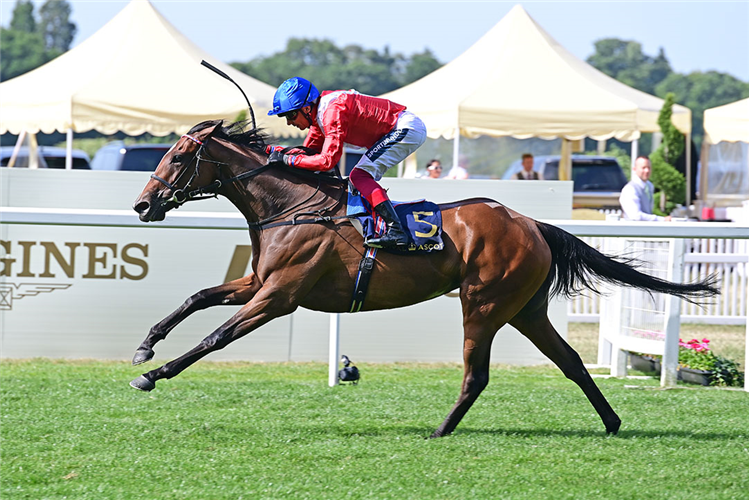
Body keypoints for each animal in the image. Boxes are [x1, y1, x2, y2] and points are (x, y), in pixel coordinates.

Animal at [130, 120, 720, 438]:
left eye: (178, 156)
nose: (142, 205)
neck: (291, 206)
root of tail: (531, 223)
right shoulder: (259, 284)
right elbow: (197, 297)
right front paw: (145, 347)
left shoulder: (280, 296)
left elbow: (216, 336)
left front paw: (154, 375)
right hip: (526, 310)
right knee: (572, 361)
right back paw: (613, 422)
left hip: (483, 304)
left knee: (477, 374)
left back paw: (441, 428)